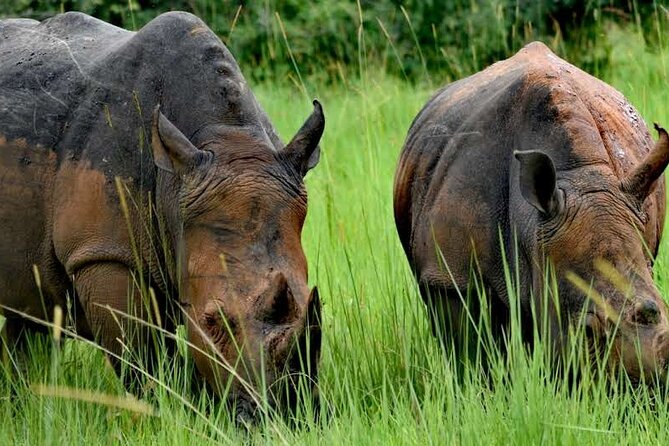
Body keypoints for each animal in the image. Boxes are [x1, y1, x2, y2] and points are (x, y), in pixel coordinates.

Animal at [0, 11, 323, 419]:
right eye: (212, 321)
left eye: (314, 302)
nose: (284, 414)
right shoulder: (103, 254)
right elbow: (144, 357)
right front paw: (173, 413)